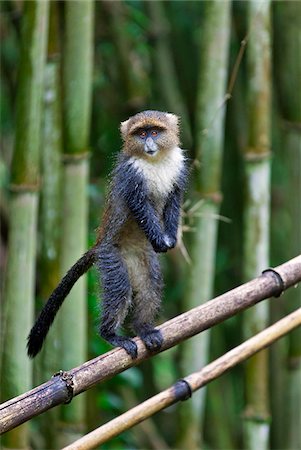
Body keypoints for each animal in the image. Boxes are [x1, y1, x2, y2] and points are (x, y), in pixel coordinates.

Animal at [27, 110, 188, 360]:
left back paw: (143, 329)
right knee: (120, 288)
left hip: (142, 258)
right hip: (111, 257)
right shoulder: (131, 176)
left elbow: (173, 201)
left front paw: (170, 238)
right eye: (141, 134)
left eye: (154, 132)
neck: (155, 162)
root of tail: (98, 246)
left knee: (150, 284)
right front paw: (160, 241)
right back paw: (110, 334)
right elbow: (140, 207)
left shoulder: (178, 168)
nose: (149, 144)